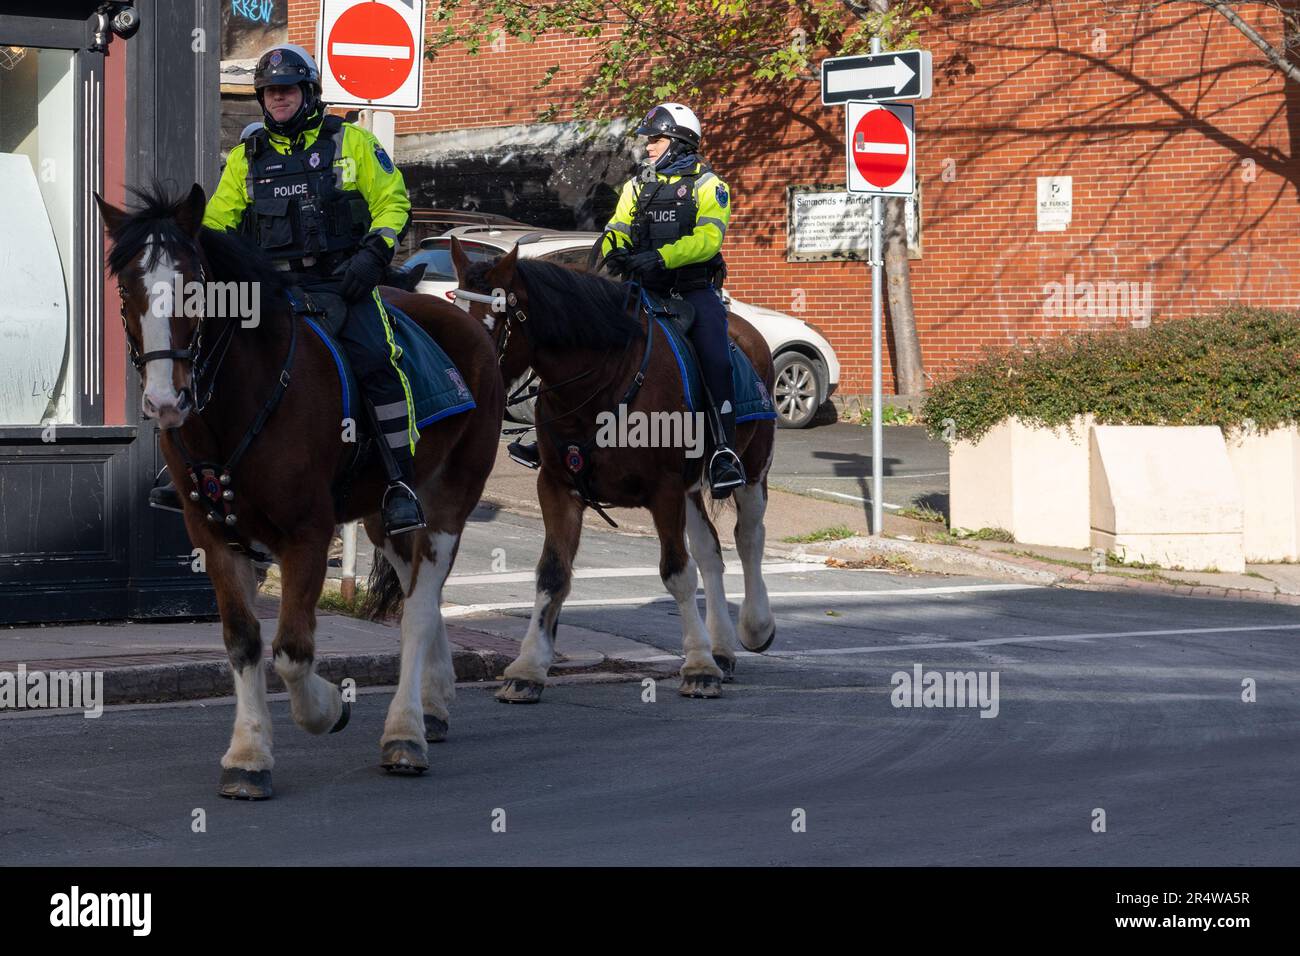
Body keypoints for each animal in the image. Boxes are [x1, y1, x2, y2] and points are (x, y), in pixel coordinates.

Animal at [94, 183, 501, 796]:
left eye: (193, 285)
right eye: (127, 287)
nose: (166, 401)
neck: (241, 398)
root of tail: (462, 316)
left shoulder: (307, 534)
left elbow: (291, 651)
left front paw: (327, 708)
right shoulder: (216, 537)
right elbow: (243, 642)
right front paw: (247, 756)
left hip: (449, 502)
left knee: (420, 608)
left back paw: (405, 731)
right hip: (386, 517)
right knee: (419, 595)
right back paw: (434, 703)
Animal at [449, 239, 769, 702]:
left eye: (497, 319)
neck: (601, 382)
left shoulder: (664, 491)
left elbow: (677, 573)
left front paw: (697, 667)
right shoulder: (557, 487)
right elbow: (552, 574)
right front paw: (528, 669)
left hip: (753, 469)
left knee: (748, 538)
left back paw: (755, 626)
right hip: (691, 487)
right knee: (711, 551)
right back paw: (723, 649)